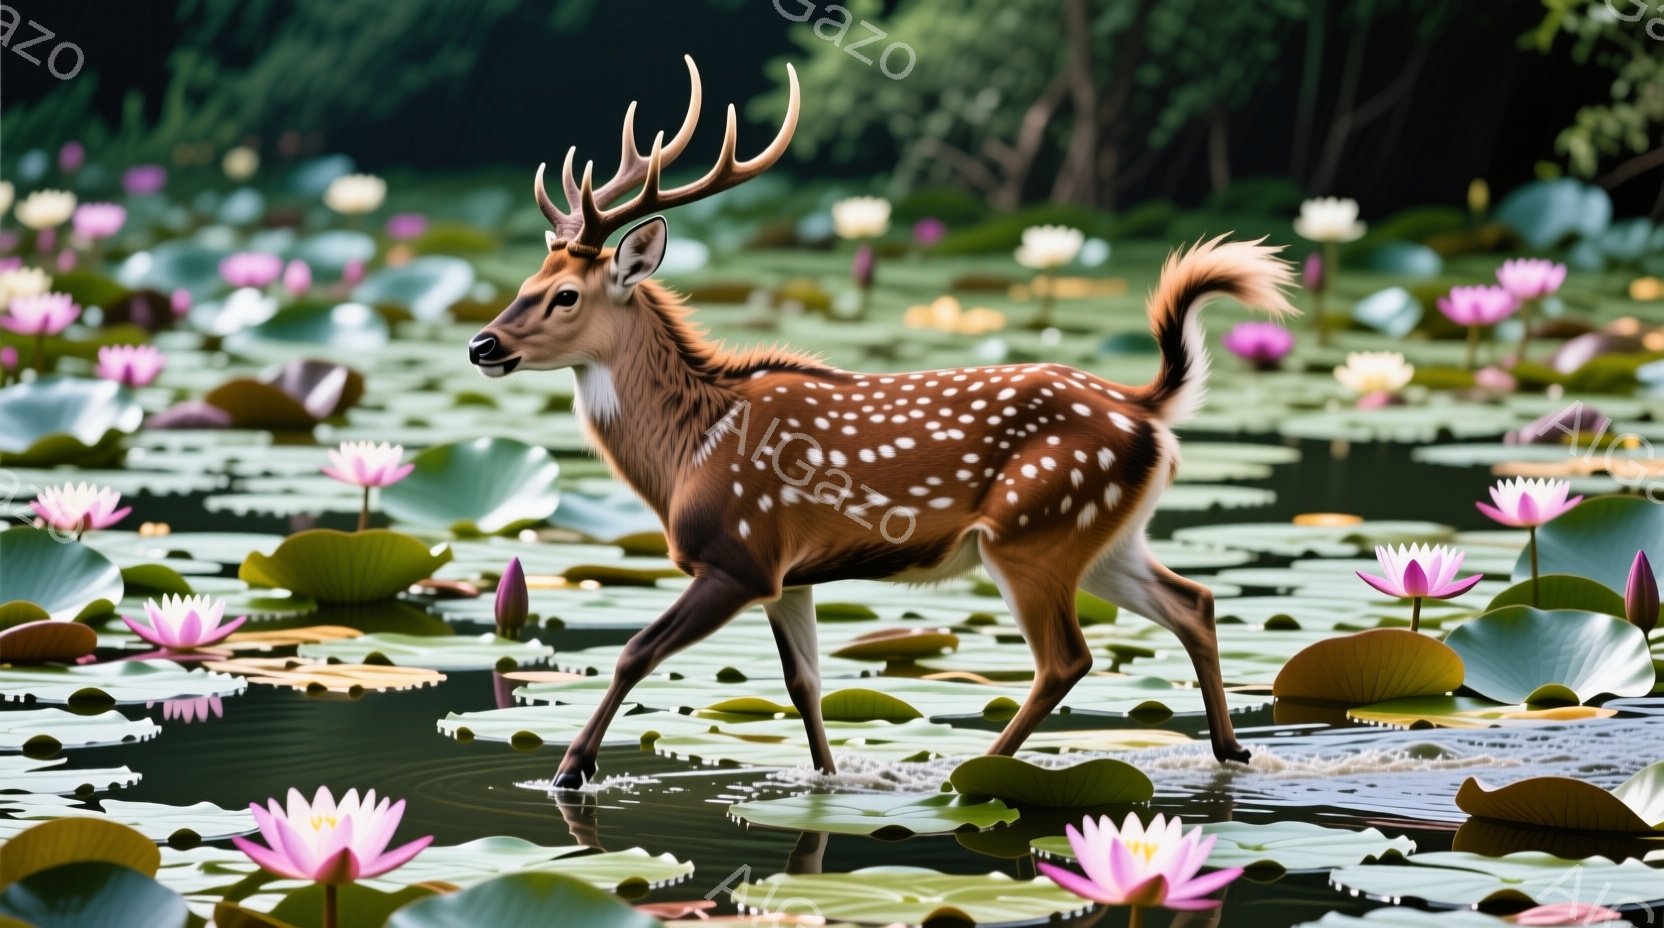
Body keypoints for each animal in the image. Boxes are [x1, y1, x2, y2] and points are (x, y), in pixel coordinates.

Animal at [468, 56, 1297, 789]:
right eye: (526, 280)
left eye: (566, 295)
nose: (483, 344)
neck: (687, 452)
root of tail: (1145, 406)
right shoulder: (788, 576)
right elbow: (805, 686)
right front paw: (829, 780)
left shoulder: (737, 553)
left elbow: (635, 651)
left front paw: (571, 770)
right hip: (1104, 536)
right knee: (1192, 601)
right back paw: (1231, 751)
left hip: (1034, 529)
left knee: (1068, 658)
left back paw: (972, 769)